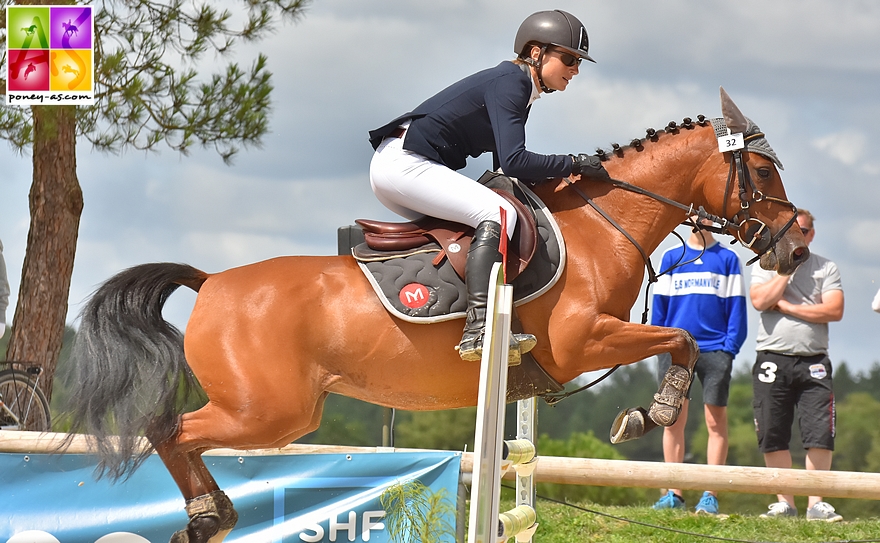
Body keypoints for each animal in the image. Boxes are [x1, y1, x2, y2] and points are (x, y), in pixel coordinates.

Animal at [65, 88, 808, 540]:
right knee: (170, 429)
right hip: (266, 410)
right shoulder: (585, 342)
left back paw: (213, 512)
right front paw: (648, 414)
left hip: (277, 411)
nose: (796, 245)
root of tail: (213, 280)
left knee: (180, 435)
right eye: (762, 173)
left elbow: (677, 340)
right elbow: (682, 338)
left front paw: (641, 412)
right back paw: (204, 513)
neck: (602, 224)